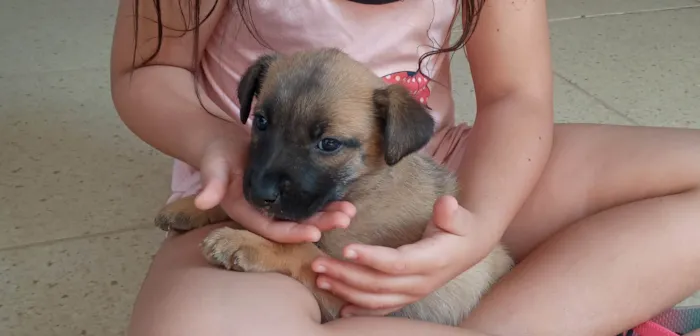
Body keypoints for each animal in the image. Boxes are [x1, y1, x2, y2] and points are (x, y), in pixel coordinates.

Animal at [154, 47, 516, 326]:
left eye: (329, 144)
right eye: (261, 121)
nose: (259, 195)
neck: (361, 186)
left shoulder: (356, 292)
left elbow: (303, 250)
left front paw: (241, 241)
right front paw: (191, 206)